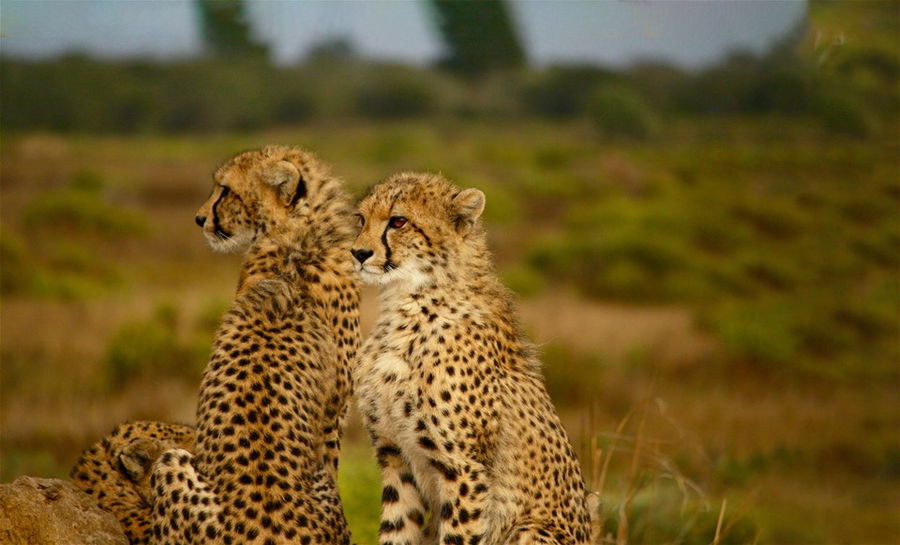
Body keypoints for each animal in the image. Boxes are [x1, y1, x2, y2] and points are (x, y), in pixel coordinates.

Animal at [354, 173, 596, 544]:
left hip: (530, 529)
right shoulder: (395, 458)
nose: (358, 253)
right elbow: (397, 531)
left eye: (398, 222)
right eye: (361, 219)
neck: (405, 303)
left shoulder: (465, 469)